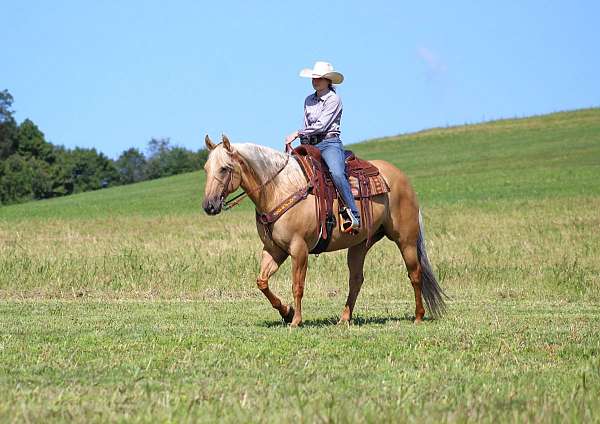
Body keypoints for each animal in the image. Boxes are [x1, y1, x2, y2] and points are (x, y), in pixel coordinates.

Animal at [204, 134, 442, 326]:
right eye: (206, 169)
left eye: (224, 168)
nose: (209, 206)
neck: (279, 189)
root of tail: (402, 178)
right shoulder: (274, 250)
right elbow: (262, 282)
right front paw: (286, 312)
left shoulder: (298, 249)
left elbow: (297, 285)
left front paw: (296, 320)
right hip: (359, 245)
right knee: (356, 280)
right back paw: (344, 319)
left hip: (406, 240)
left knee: (415, 273)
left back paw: (418, 316)